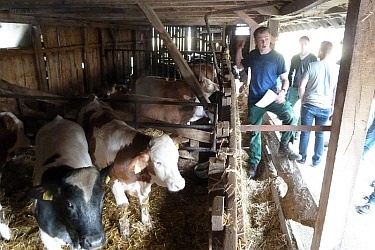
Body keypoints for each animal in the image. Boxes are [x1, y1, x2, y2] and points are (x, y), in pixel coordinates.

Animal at [78, 96, 187, 239]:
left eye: (176, 158)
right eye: (158, 162)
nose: (180, 184)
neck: (141, 179)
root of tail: (94, 99)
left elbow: (145, 201)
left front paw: (148, 223)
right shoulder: (114, 180)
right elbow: (123, 205)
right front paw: (125, 233)